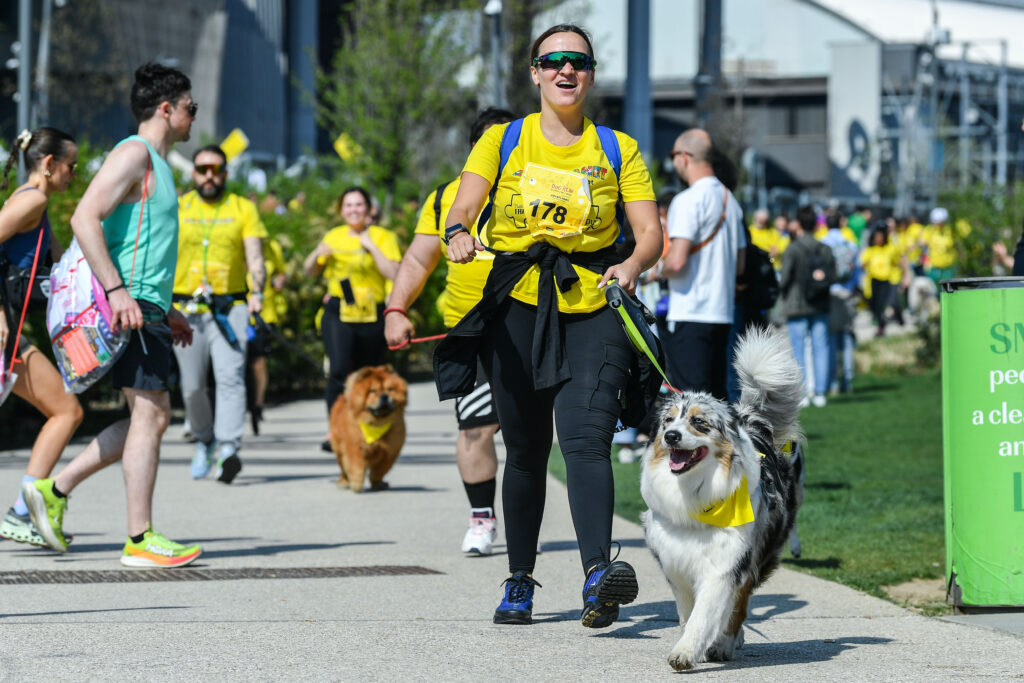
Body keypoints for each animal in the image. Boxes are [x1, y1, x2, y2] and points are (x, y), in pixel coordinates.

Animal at [640, 327, 804, 671]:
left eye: (699, 422)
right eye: (668, 422)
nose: (671, 436)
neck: (694, 491)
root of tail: (751, 421)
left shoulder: (727, 564)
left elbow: (706, 613)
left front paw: (686, 652)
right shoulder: (675, 563)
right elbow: (688, 612)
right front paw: (692, 645)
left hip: (760, 554)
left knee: (739, 606)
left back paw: (725, 643)